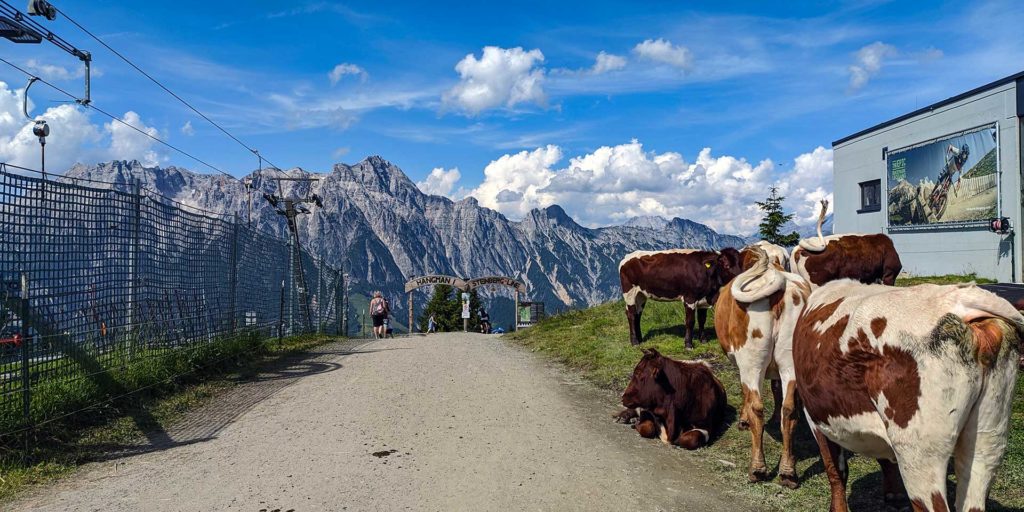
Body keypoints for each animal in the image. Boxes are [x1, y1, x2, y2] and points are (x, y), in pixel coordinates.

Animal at [716, 244, 811, 487]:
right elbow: (777, 391)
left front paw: (742, 420)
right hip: (789, 361)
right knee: (789, 409)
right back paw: (787, 471)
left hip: (751, 362)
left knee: (757, 407)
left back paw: (757, 468)